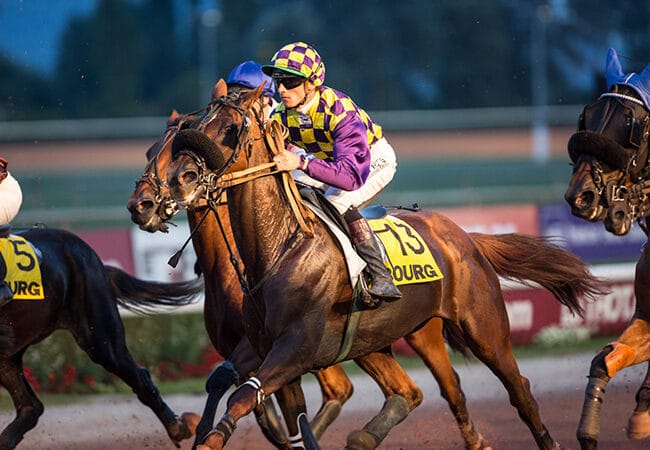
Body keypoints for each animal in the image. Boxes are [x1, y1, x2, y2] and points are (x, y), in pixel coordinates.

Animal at [126, 104, 488, 450]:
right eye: (150, 151)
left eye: (177, 149)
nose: (141, 205)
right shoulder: (254, 347)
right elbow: (233, 389)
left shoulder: (291, 348)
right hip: (373, 342)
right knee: (407, 391)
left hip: (423, 332)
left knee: (448, 385)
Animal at [166, 81, 604, 450]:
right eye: (198, 122)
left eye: (230, 128)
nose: (180, 178)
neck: (281, 249)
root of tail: (463, 236)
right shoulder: (264, 348)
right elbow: (258, 403)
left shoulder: (294, 349)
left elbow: (243, 397)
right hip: (389, 336)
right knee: (430, 390)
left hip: (484, 327)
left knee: (519, 390)